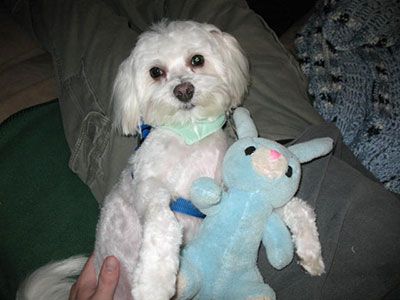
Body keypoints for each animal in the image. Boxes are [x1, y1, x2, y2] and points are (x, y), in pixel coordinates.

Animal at [18, 19, 324, 300]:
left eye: (197, 60)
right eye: (156, 72)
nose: (184, 90)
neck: (191, 136)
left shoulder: (232, 190)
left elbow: (295, 206)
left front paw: (311, 251)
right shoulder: (147, 187)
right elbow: (163, 224)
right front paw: (154, 281)